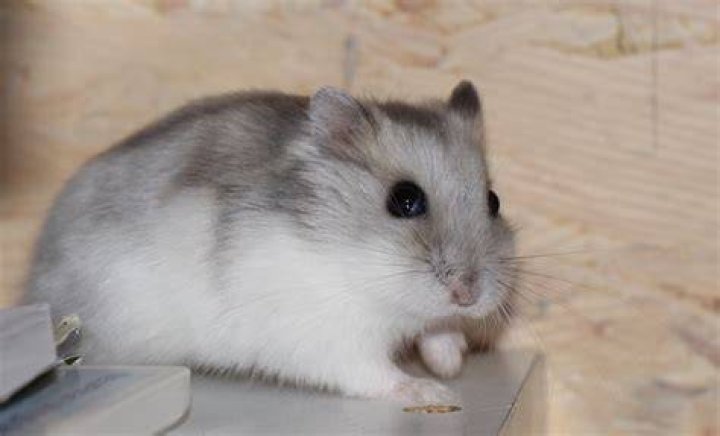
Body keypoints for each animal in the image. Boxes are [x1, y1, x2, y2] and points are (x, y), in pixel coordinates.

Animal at [24, 81, 516, 405]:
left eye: (493, 201)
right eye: (405, 200)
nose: (469, 295)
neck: (359, 264)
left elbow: (439, 330)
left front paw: (450, 363)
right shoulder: (328, 337)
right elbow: (373, 372)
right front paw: (433, 390)